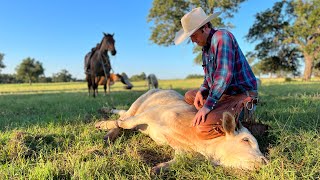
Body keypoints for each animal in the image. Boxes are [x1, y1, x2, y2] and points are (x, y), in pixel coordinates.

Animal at [95, 89, 268, 172]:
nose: (265, 161)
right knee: (123, 117)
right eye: (246, 140)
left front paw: (156, 169)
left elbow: (176, 162)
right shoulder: (151, 113)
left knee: (123, 115)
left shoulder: (184, 153)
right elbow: (124, 123)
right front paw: (102, 125)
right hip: (139, 103)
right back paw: (105, 126)